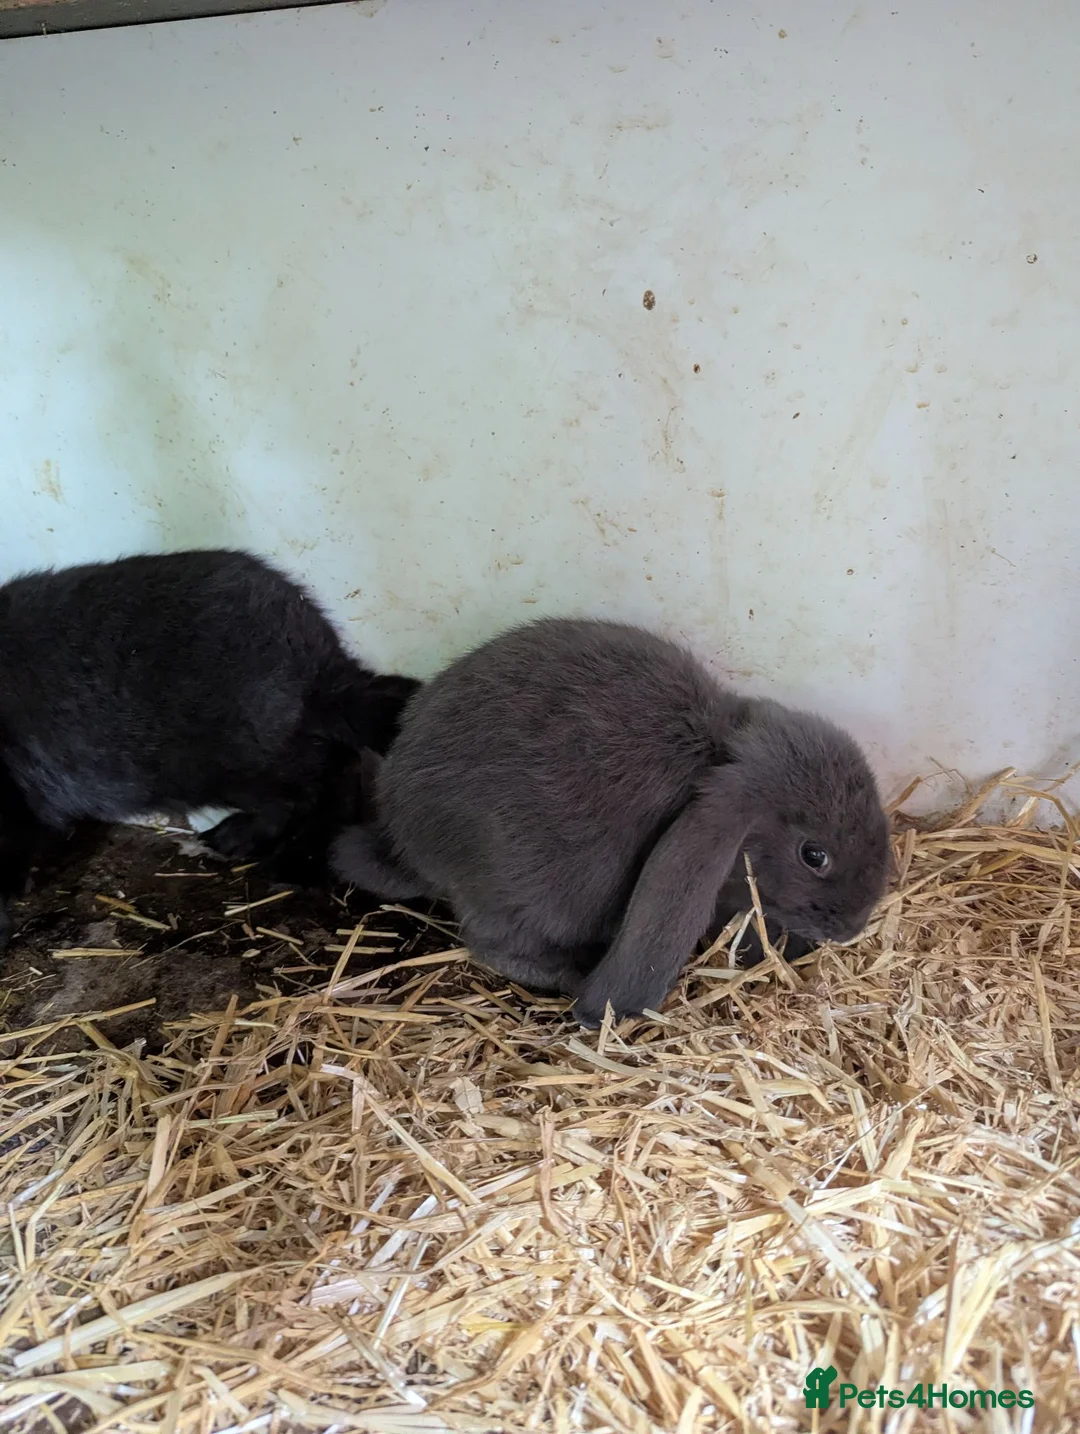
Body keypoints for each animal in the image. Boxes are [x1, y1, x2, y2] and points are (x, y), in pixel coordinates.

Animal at [330, 617, 890, 1026]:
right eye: (814, 855)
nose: (852, 927)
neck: (717, 755)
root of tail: (408, 844)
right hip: (525, 897)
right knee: (495, 947)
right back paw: (572, 977)